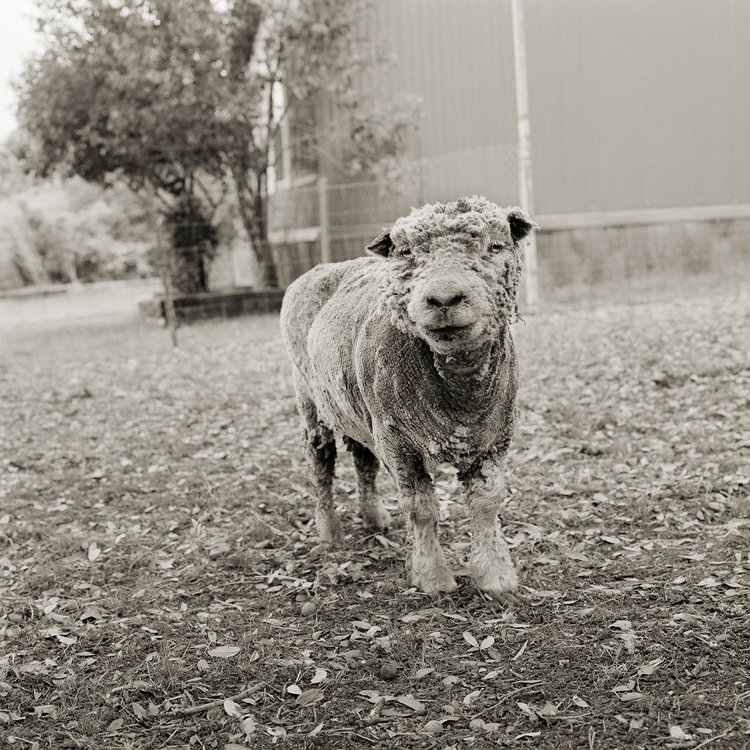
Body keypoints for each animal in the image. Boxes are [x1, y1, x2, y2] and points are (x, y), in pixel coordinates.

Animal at [280, 197, 536, 604]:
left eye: (495, 247)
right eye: (406, 253)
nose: (444, 298)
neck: (460, 395)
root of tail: (328, 265)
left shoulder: (493, 439)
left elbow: (486, 504)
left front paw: (496, 577)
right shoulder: (400, 445)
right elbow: (421, 510)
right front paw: (432, 578)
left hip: (357, 408)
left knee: (363, 459)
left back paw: (373, 517)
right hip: (310, 398)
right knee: (320, 464)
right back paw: (330, 533)